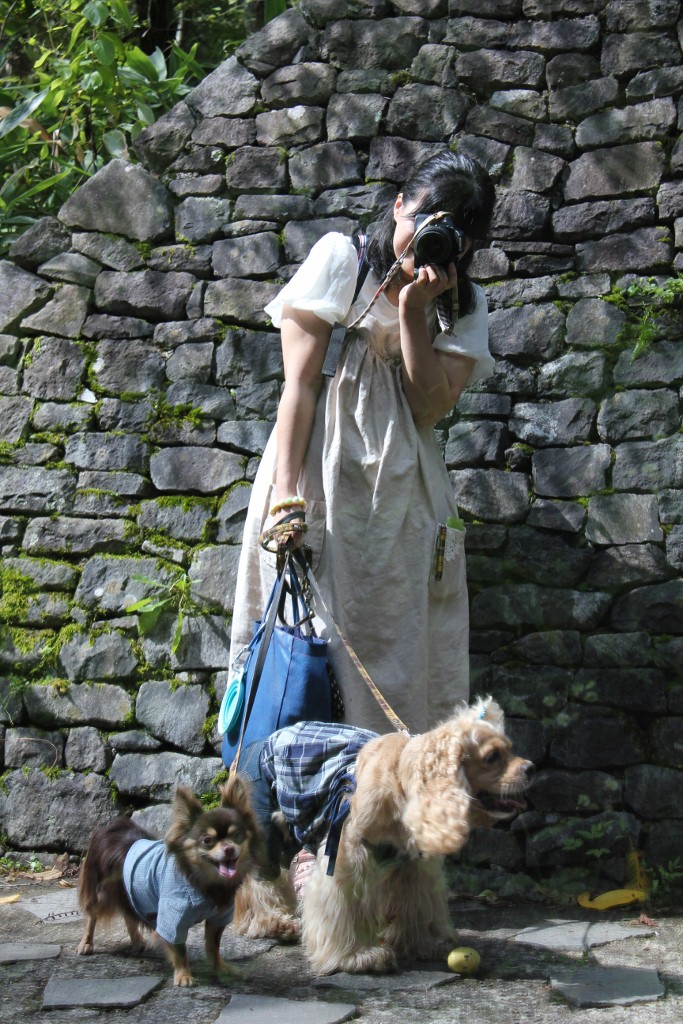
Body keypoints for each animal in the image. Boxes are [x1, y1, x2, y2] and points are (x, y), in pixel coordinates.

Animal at [77, 775, 267, 987]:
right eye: (207, 840)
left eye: (237, 835)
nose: (229, 849)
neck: (205, 881)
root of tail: (112, 826)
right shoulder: (174, 918)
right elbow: (180, 949)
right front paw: (183, 976)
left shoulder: (218, 918)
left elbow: (213, 946)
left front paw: (221, 969)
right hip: (99, 892)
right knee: (91, 916)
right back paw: (86, 944)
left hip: (128, 890)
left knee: (128, 914)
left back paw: (137, 941)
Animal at [233, 697, 534, 975]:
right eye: (492, 757)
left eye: (510, 748)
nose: (531, 767)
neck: (401, 784)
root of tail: (261, 740)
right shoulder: (347, 856)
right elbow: (346, 905)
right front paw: (357, 956)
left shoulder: (413, 865)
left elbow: (419, 904)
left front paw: (427, 943)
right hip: (265, 824)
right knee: (259, 879)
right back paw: (270, 921)